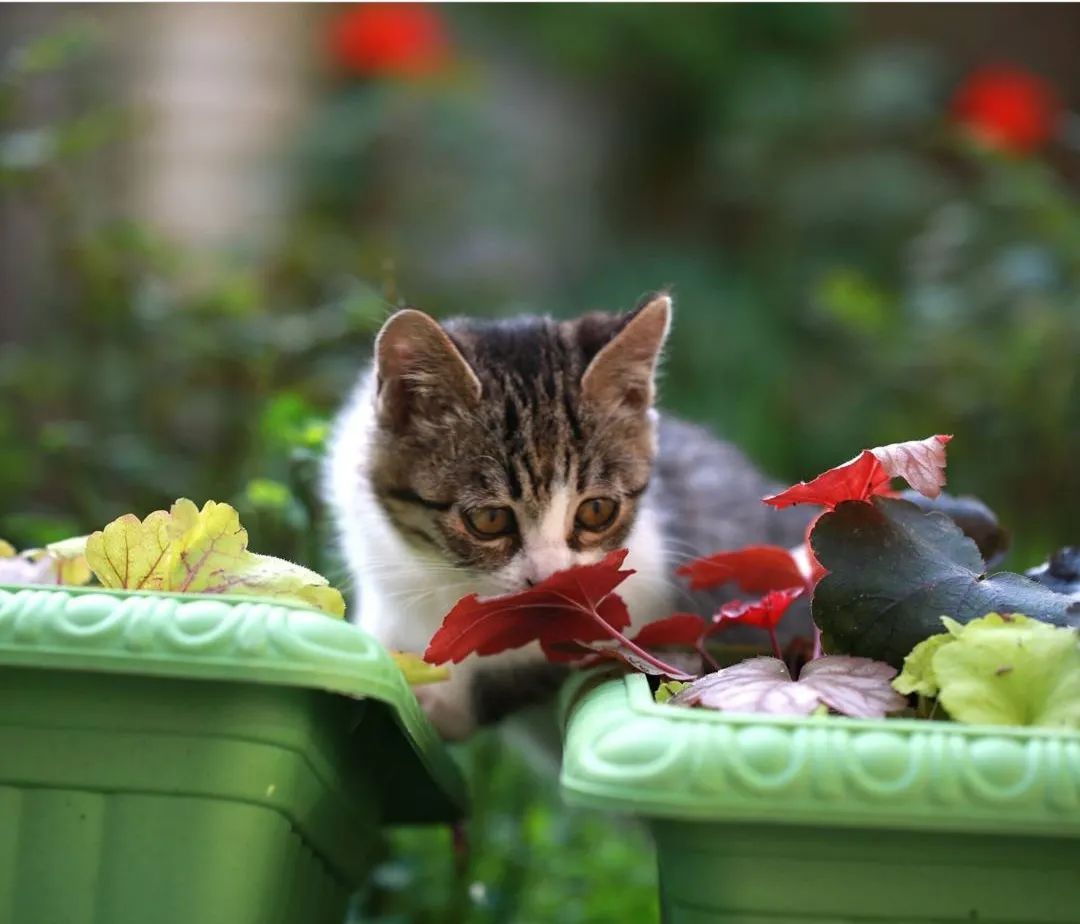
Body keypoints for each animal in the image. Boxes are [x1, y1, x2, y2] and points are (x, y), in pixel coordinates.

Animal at [328, 291, 812, 738]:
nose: (551, 580)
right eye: (489, 520)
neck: (446, 579)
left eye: (597, 510)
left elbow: (542, 664)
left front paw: (438, 701)